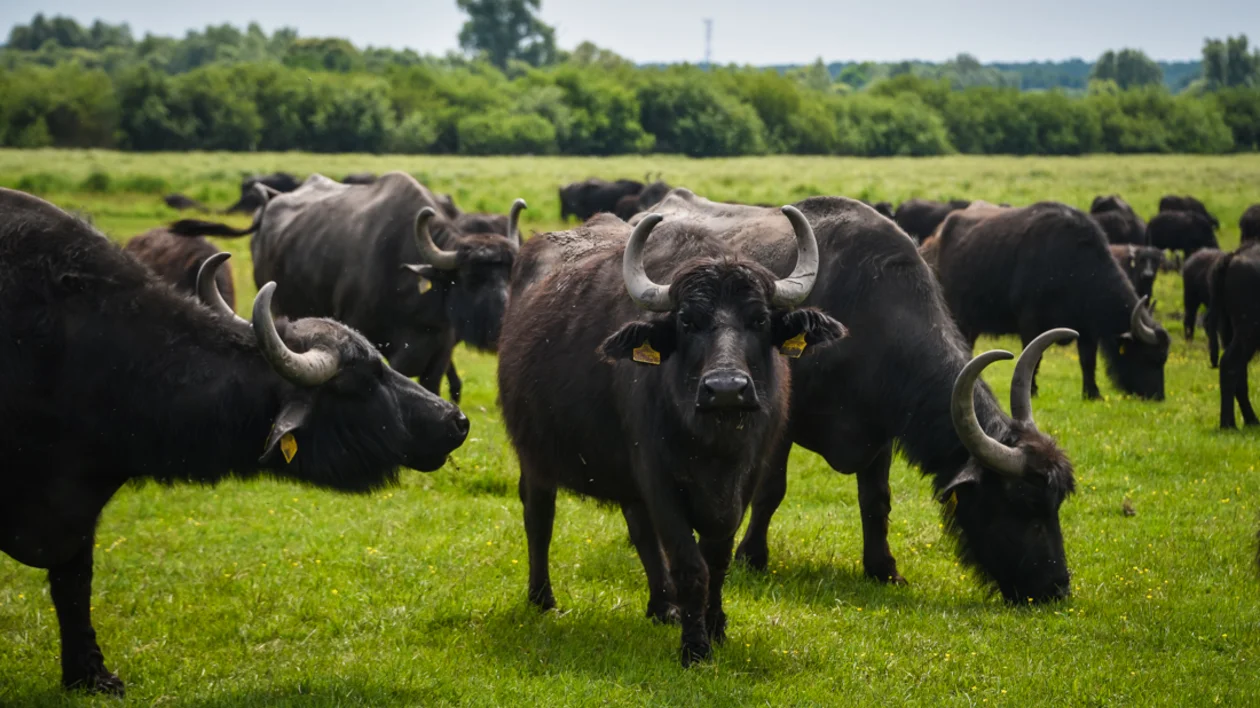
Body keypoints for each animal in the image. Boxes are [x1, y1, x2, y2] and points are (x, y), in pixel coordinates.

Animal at [499, 207, 845, 665]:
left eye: (759, 319)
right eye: (687, 321)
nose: (726, 389)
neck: (713, 444)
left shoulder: (745, 479)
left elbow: (716, 559)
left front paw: (715, 627)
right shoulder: (659, 478)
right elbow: (689, 563)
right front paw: (694, 647)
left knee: (639, 530)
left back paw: (663, 606)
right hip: (534, 453)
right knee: (539, 517)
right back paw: (543, 599)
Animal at [646, 190, 1078, 604]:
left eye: (1056, 503)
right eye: (1020, 503)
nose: (1056, 587)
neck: (864, 321)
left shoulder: (881, 430)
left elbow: (876, 499)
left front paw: (883, 568)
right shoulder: (781, 425)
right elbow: (771, 491)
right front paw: (752, 557)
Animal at [933, 202, 1169, 400]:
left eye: (1164, 358)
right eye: (1150, 358)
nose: (1158, 396)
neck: (1072, 267)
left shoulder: (1086, 328)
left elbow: (1088, 361)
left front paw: (1092, 393)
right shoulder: (1030, 322)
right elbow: (1032, 358)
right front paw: (1032, 390)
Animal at [1212, 242, 1260, 428]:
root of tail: (1234, 255)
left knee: (1239, 371)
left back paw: (1251, 420)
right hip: (1248, 331)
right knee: (1230, 363)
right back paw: (1228, 423)